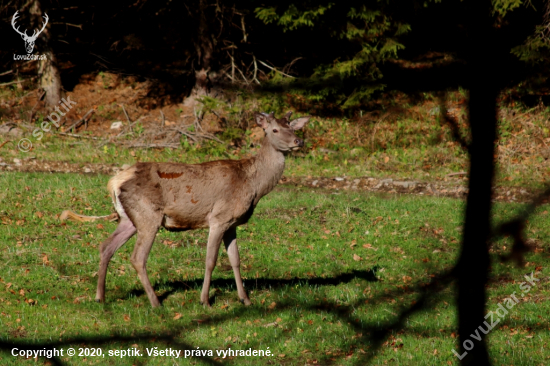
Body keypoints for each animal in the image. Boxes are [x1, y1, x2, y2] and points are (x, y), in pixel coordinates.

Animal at [61, 113, 310, 308]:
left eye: (292, 127)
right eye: (275, 129)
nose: (299, 140)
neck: (253, 185)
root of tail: (114, 181)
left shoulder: (232, 223)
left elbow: (236, 260)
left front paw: (245, 299)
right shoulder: (218, 218)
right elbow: (211, 260)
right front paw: (205, 301)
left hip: (129, 219)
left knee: (106, 246)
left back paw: (100, 297)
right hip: (148, 216)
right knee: (137, 257)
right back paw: (155, 302)